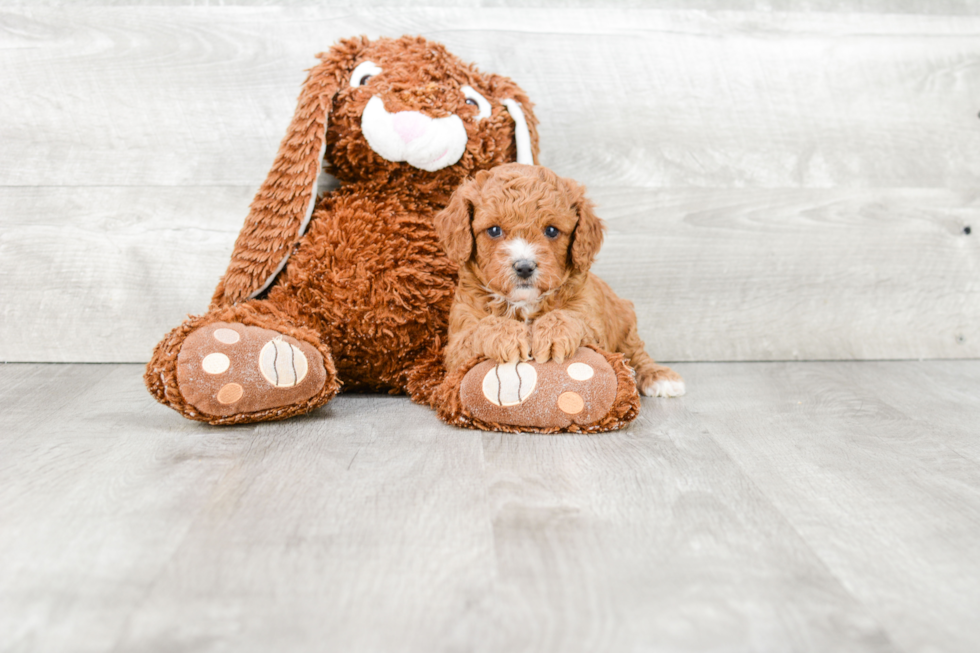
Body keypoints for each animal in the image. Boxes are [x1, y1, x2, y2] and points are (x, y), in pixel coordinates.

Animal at [432, 163, 684, 398]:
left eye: (551, 231)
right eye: (494, 230)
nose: (524, 267)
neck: (524, 303)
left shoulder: (591, 320)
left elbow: (570, 317)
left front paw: (553, 334)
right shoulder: (456, 345)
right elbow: (481, 328)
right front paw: (508, 335)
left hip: (625, 323)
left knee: (636, 353)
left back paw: (659, 377)